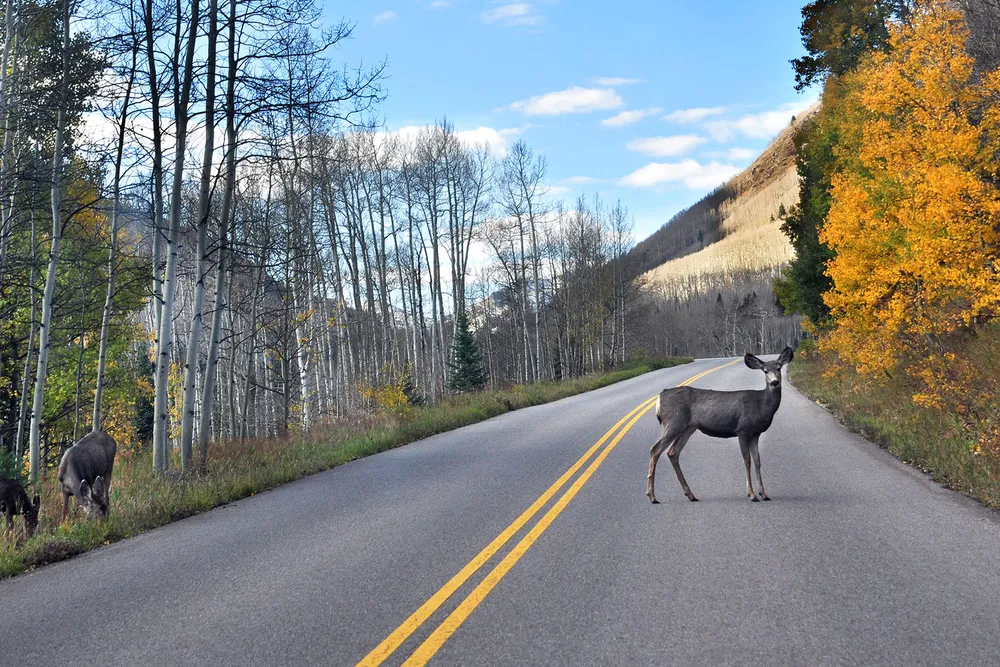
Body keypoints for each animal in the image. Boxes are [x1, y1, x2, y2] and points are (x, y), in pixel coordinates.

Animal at [646, 347, 794, 504]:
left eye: (779, 368)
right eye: (765, 371)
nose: (774, 382)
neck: (762, 405)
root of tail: (659, 397)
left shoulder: (756, 433)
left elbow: (757, 460)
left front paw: (764, 494)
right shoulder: (743, 429)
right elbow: (747, 460)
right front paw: (752, 494)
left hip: (687, 428)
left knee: (672, 452)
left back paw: (690, 494)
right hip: (673, 423)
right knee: (655, 450)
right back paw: (652, 496)